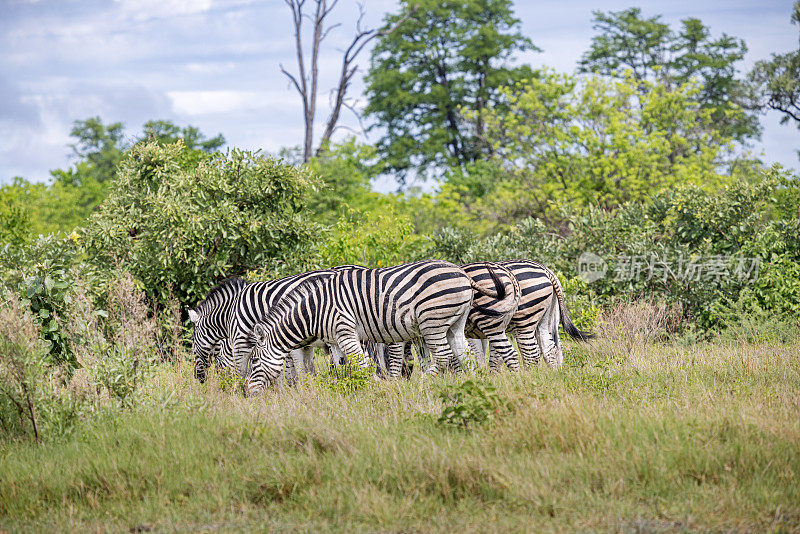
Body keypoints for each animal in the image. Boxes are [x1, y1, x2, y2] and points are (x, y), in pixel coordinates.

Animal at [244, 262, 520, 396]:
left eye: (254, 360)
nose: (246, 393)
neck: (315, 311)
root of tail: (462, 272)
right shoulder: (336, 339)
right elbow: (343, 365)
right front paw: (349, 386)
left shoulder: (345, 330)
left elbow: (361, 364)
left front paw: (376, 388)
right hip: (456, 323)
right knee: (466, 355)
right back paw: (474, 384)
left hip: (432, 322)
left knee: (443, 356)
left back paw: (422, 385)